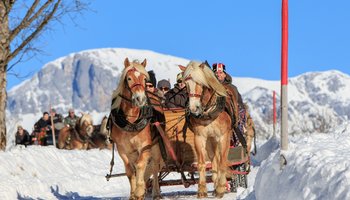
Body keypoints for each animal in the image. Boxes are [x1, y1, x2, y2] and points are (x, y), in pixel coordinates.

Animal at [110, 57, 163, 200]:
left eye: (144, 79)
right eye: (129, 78)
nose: (140, 98)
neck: (131, 120)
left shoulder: (145, 146)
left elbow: (140, 166)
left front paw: (140, 191)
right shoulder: (122, 149)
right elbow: (129, 170)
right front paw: (133, 194)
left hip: (156, 147)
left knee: (155, 167)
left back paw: (156, 192)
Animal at [180, 61, 232, 198]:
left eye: (201, 83)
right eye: (186, 84)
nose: (194, 108)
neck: (209, 112)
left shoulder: (223, 136)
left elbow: (222, 162)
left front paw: (221, 188)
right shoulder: (200, 137)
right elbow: (202, 164)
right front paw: (202, 190)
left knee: (220, 160)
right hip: (210, 141)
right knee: (213, 160)